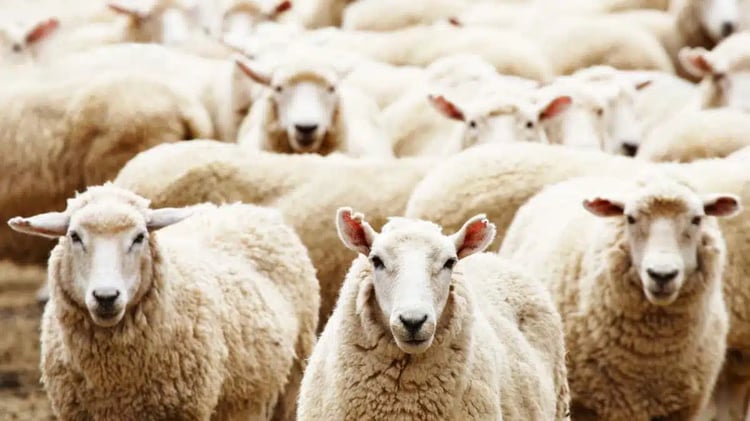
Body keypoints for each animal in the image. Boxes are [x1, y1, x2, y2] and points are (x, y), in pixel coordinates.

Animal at [8, 183, 319, 420]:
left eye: (139, 237)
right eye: (74, 236)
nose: (106, 297)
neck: (115, 379)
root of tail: (244, 207)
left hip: (293, 377)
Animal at [499, 173, 737, 419]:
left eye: (697, 219)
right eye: (630, 218)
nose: (662, 275)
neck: (649, 353)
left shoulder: (678, 410)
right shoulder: (584, 406)